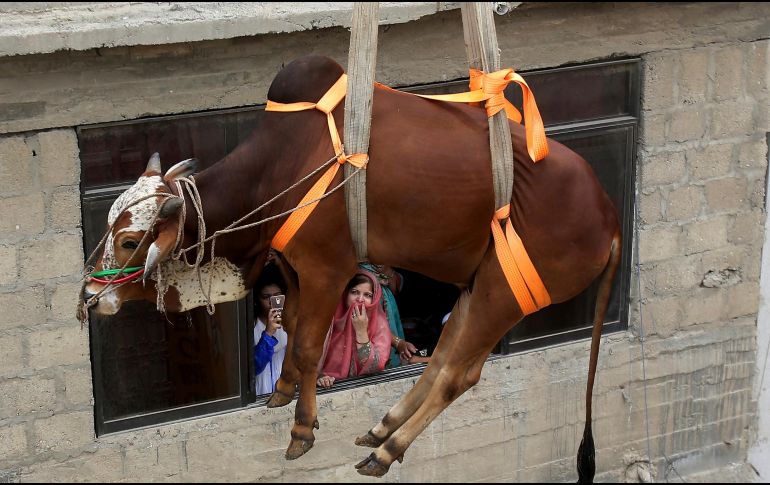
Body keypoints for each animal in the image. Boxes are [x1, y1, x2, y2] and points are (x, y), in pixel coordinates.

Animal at [80, 55, 621, 482]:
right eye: (108, 225)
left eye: (130, 240)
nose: (88, 296)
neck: (283, 164)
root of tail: (609, 218)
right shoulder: (293, 269)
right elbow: (294, 330)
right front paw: (282, 392)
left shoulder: (327, 269)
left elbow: (307, 347)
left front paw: (302, 429)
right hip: (478, 286)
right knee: (443, 356)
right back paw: (382, 427)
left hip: (501, 295)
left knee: (457, 375)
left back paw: (388, 449)